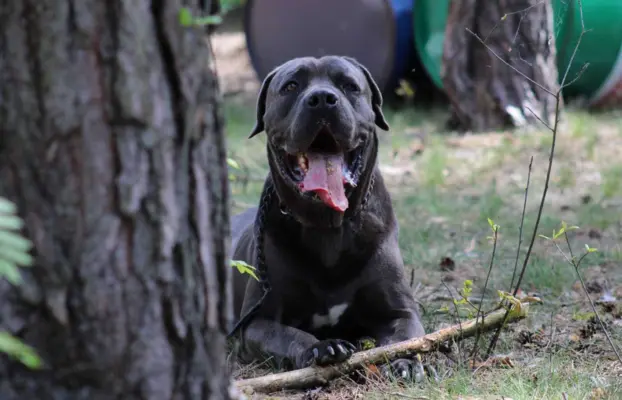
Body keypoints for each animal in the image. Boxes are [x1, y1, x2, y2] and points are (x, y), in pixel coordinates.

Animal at [232, 55, 426, 378]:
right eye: (291, 86)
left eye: (349, 85)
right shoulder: (257, 322)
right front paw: (322, 347)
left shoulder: (400, 311)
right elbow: (289, 335)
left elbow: (406, 337)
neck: (328, 228)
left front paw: (407, 360)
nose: (322, 98)